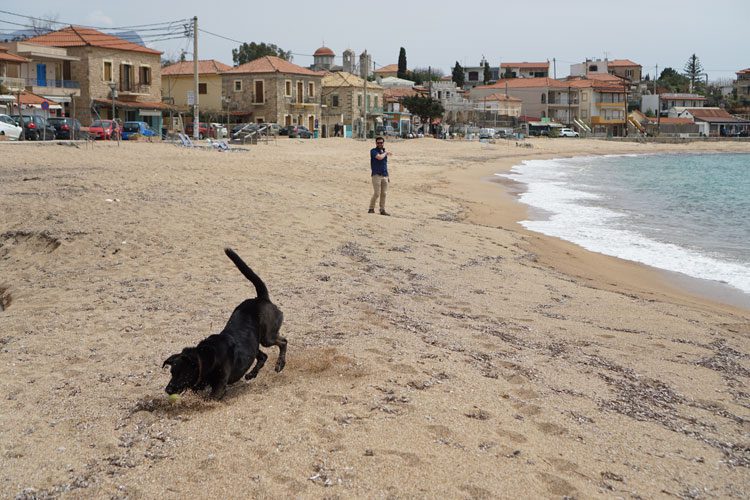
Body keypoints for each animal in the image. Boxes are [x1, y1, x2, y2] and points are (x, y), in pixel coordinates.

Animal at [163, 248, 286, 400]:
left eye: (183, 374)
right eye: (172, 373)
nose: (168, 389)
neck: (205, 357)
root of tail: (261, 299)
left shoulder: (219, 387)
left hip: (267, 337)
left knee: (283, 342)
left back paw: (280, 364)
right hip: (254, 345)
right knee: (263, 356)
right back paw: (252, 374)